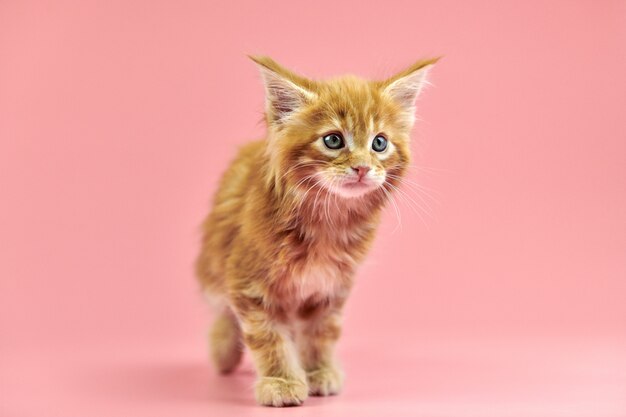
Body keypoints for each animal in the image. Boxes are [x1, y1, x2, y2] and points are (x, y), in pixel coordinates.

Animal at [195, 55, 434, 406]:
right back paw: (222, 350)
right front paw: (281, 381)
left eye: (379, 143)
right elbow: (267, 335)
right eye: (333, 140)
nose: (362, 167)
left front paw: (319, 371)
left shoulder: (330, 287)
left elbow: (320, 334)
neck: (327, 219)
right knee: (224, 311)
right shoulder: (248, 281)